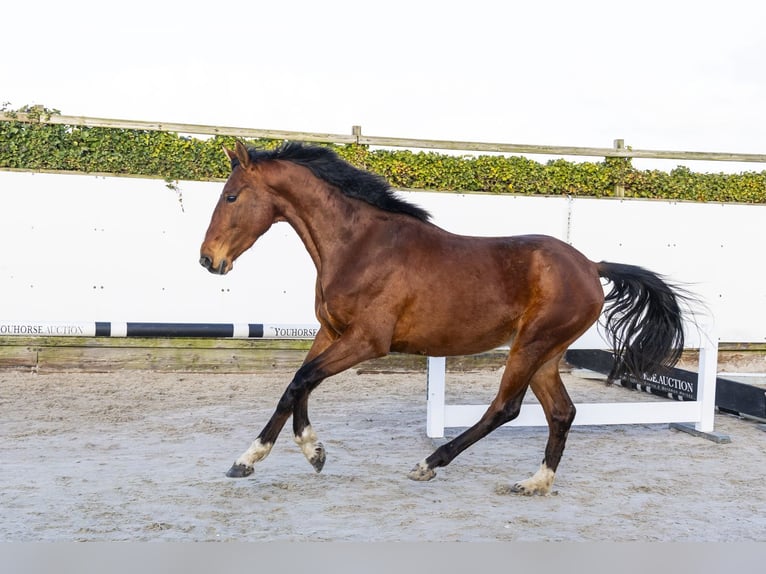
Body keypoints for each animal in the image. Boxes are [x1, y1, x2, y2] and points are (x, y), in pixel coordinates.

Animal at [199, 140, 693, 495]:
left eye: (231, 196)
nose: (208, 260)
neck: (359, 245)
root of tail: (591, 265)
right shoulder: (331, 332)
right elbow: (298, 384)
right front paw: (301, 452)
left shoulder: (367, 341)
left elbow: (301, 380)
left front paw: (268, 455)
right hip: (547, 355)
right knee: (561, 412)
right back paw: (536, 482)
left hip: (530, 345)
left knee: (506, 408)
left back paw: (429, 464)